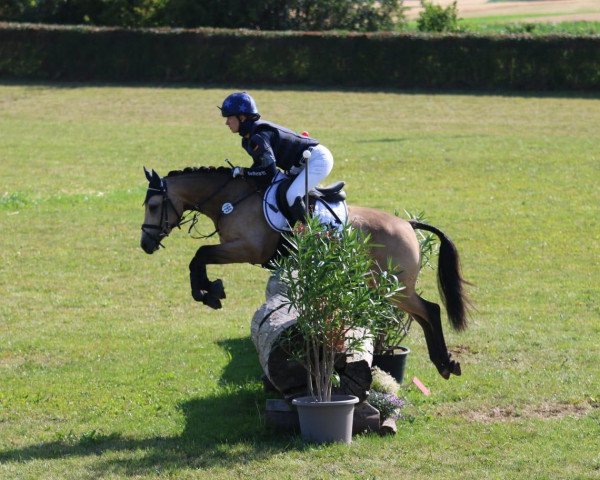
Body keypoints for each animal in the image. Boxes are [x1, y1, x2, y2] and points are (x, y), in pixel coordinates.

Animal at [138, 165, 472, 378]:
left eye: (153, 205)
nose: (145, 244)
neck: (231, 200)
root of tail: (407, 224)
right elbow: (200, 258)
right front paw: (210, 290)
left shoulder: (245, 249)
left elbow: (199, 256)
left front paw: (208, 292)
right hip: (387, 287)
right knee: (423, 314)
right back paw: (444, 363)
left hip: (392, 287)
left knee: (430, 309)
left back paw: (445, 363)